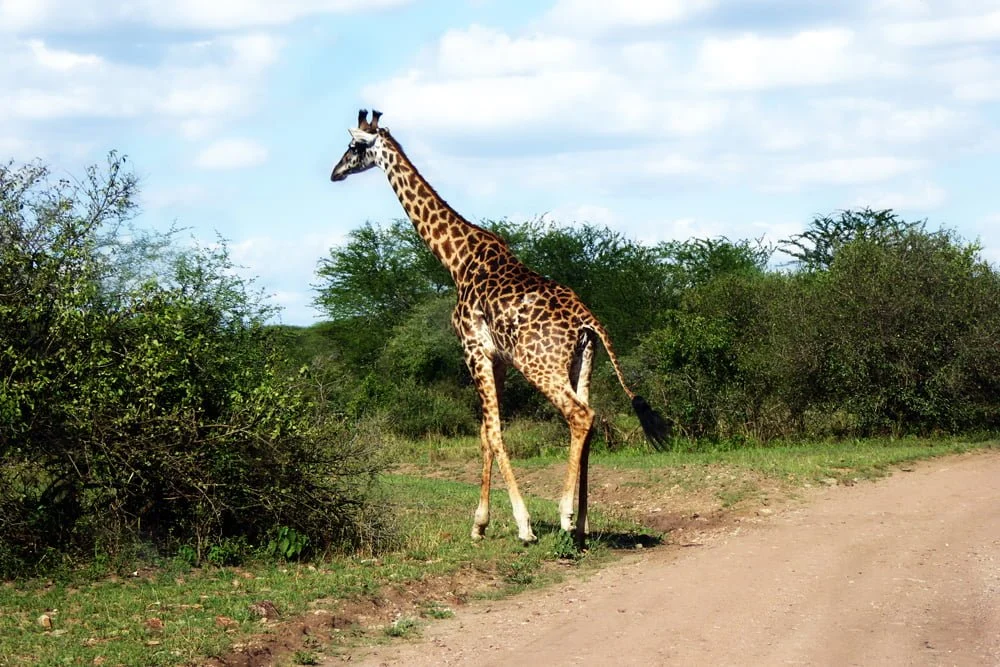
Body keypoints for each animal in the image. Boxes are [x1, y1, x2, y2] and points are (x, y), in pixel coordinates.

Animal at [330, 109, 669, 546]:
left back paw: (564, 516)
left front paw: (522, 525)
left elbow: (493, 431)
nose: (335, 172)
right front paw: (480, 524)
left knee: (580, 416)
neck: (456, 259)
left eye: (354, 147)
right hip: (583, 362)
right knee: (590, 420)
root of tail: (587, 320)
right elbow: (484, 433)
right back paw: (581, 524)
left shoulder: (472, 348)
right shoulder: (499, 359)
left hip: (541, 365)